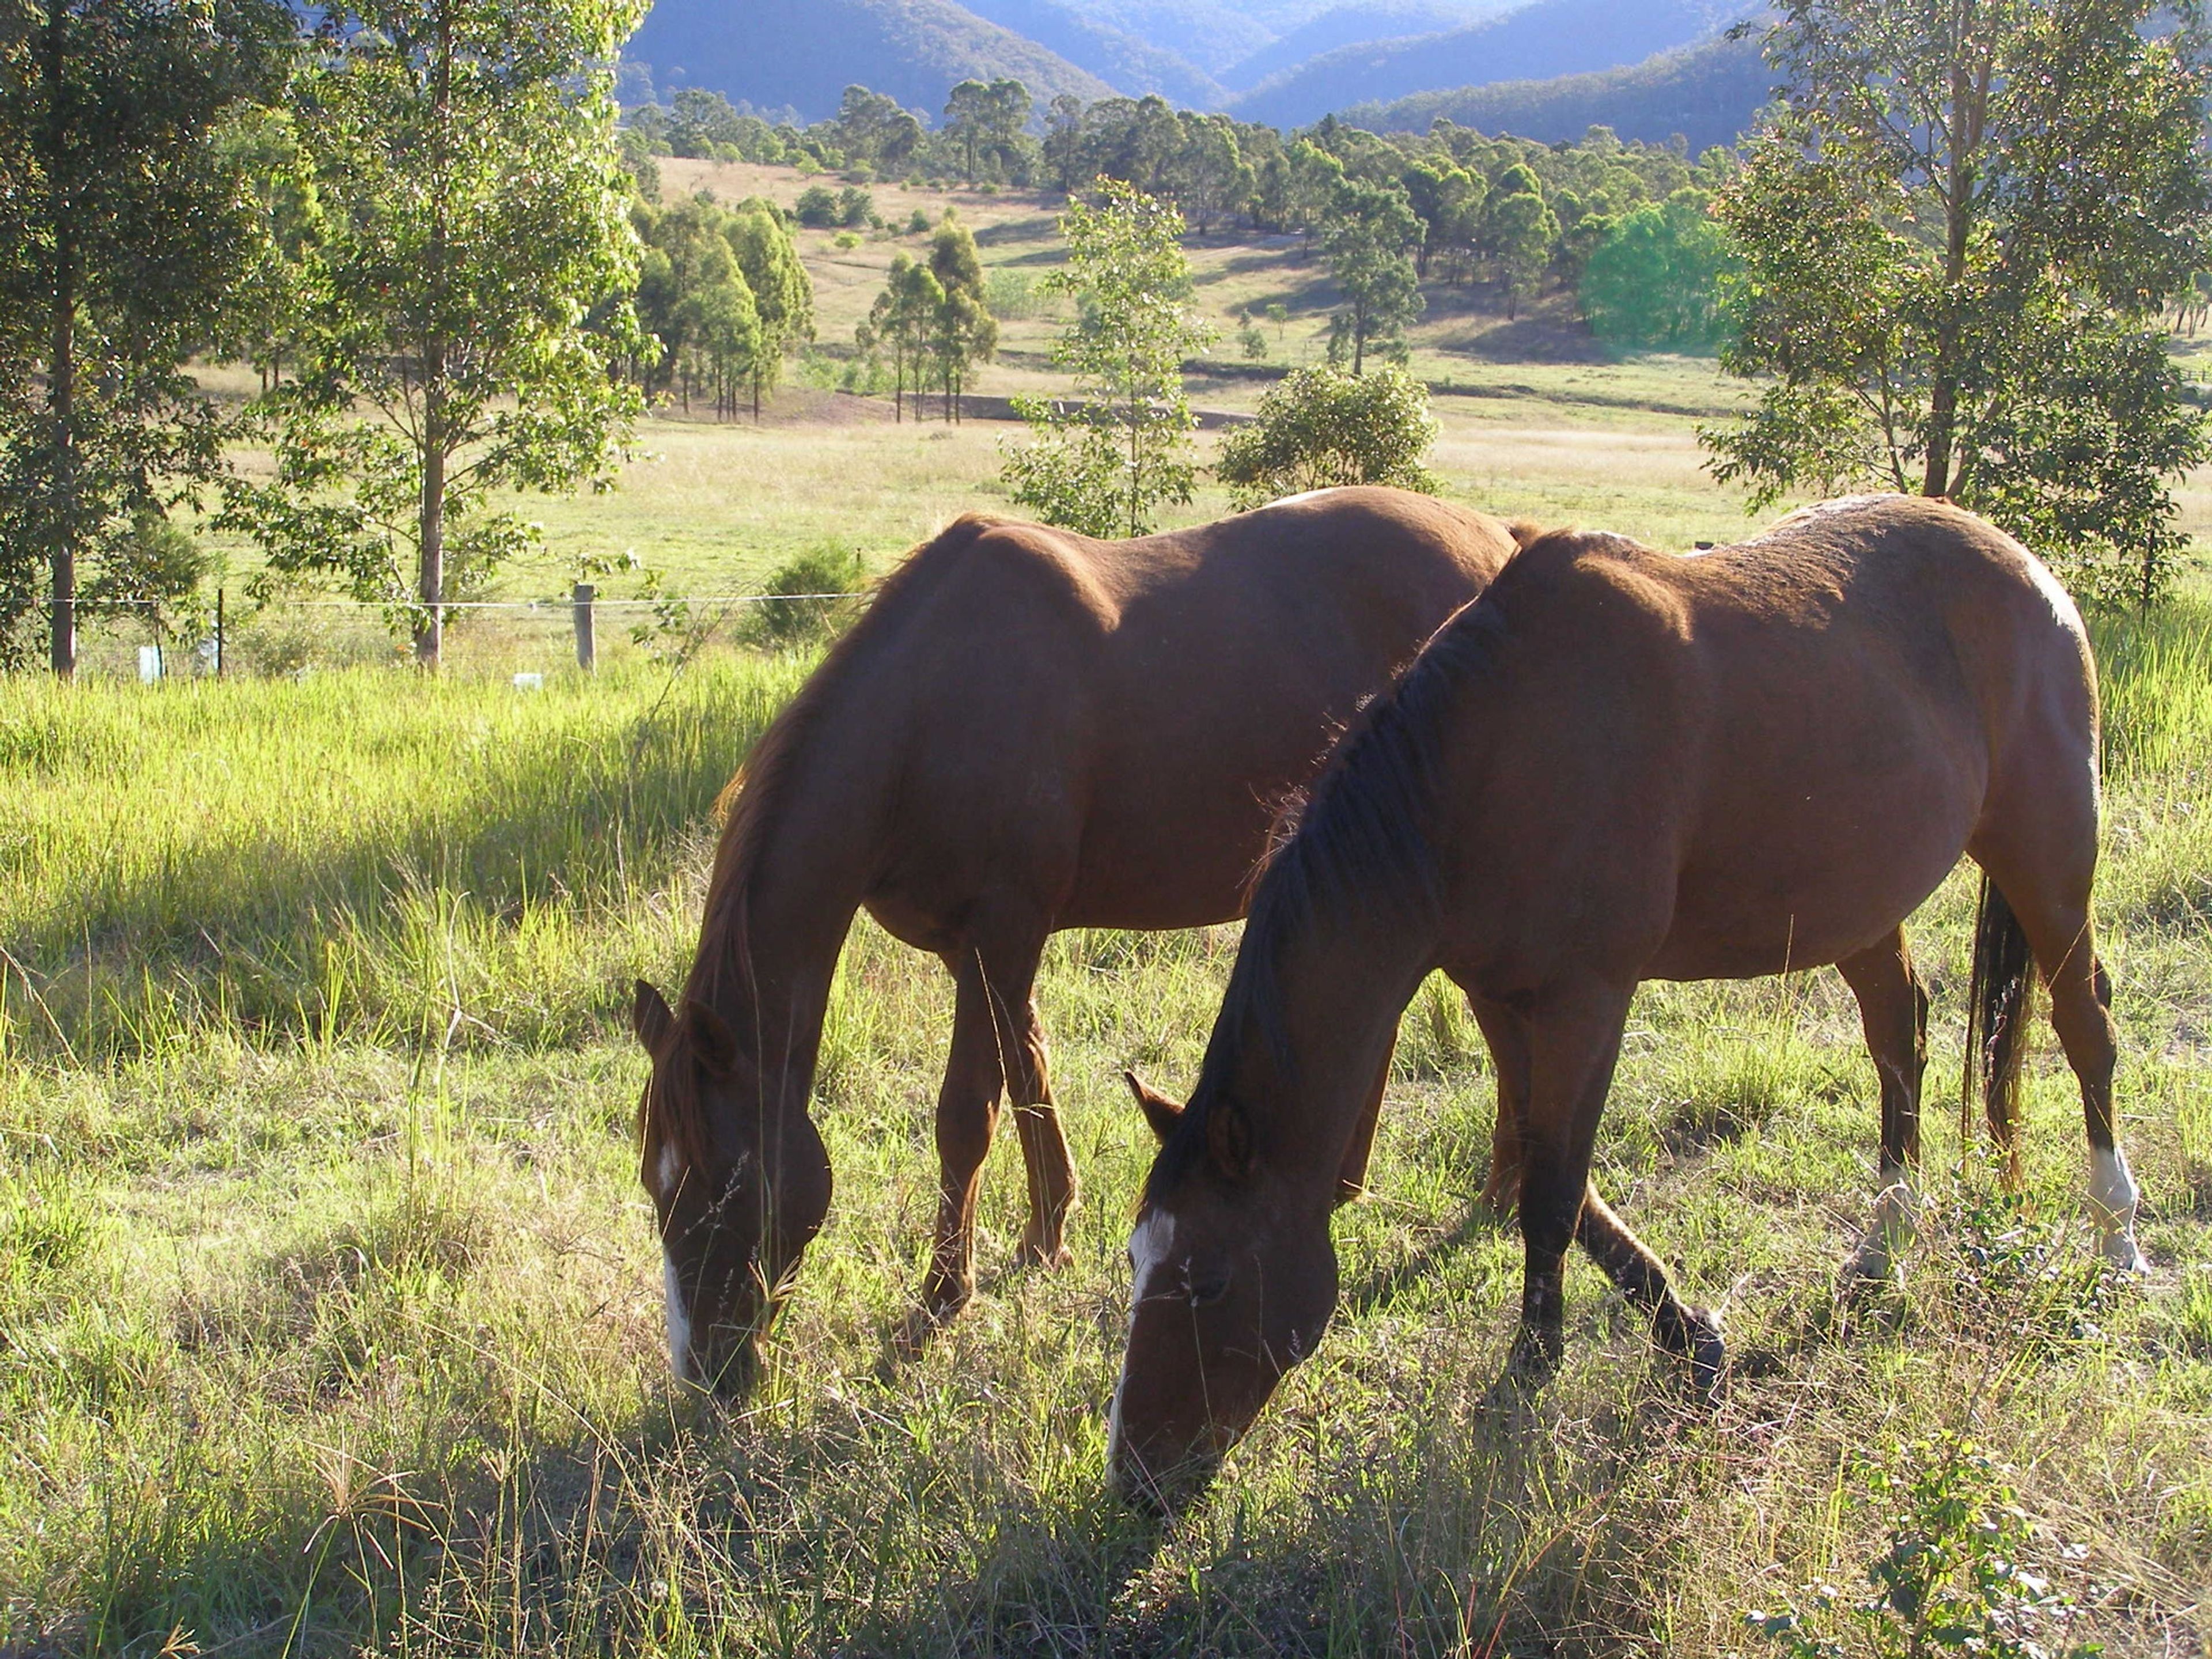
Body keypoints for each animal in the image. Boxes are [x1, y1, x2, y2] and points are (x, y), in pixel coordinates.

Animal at [631, 487, 1524, 1397]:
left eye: (724, 1185)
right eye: (652, 1182)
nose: (705, 1374)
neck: (933, 710)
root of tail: (1499, 541)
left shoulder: (1003, 931)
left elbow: (968, 1116)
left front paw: (943, 1298)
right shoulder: (979, 948)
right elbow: (1030, 1071)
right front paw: (1047, 1235)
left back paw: (1502, 1191)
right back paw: (1350, 1179)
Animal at [1109, 495, 2148, 1512]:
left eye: (1206, 1283)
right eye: (1135, 1263)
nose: (1135, 1482)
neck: (1485, 767)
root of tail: (2022, 561)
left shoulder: (1588, 1000)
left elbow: (1552, 1191)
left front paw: (1526, 1377)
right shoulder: (1501, 996)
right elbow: (1554, 1173)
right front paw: (1688, 1335)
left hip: (2048, 853)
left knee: (2084, 1026)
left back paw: (2117, 1235)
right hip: (1859, 905)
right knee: (1901, 1036)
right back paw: (1884, 1242)